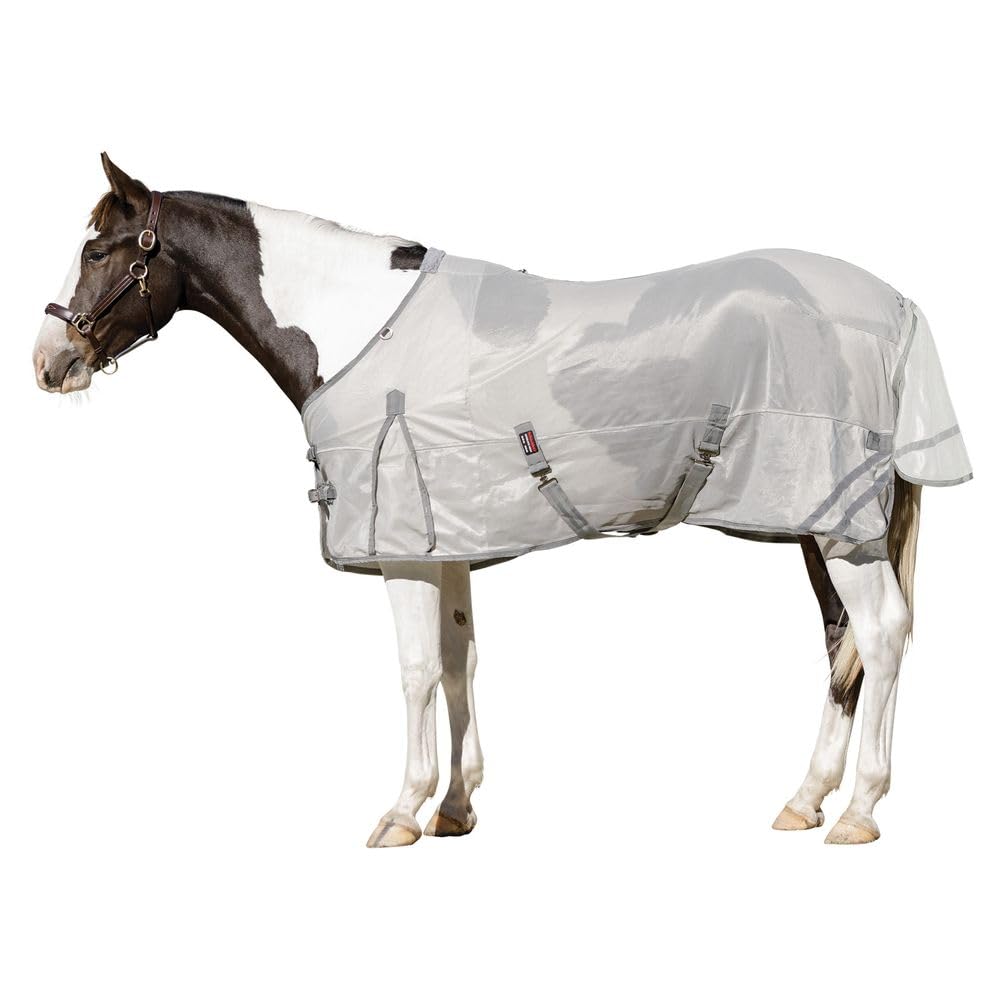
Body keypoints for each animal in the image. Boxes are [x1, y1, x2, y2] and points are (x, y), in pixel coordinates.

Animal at [33, 154, 972, 847]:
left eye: (97, 250)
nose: (48, 362)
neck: (356, 325)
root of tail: (895, 304)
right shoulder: (448, 541)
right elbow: (459, 663)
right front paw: (456, 808)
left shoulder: (402, 551)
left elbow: (415, 672)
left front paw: (401, 812)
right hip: (819, 526)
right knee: (843, 644)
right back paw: (806, 799)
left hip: (839, 527)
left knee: (880, 636)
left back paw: (858, 812)